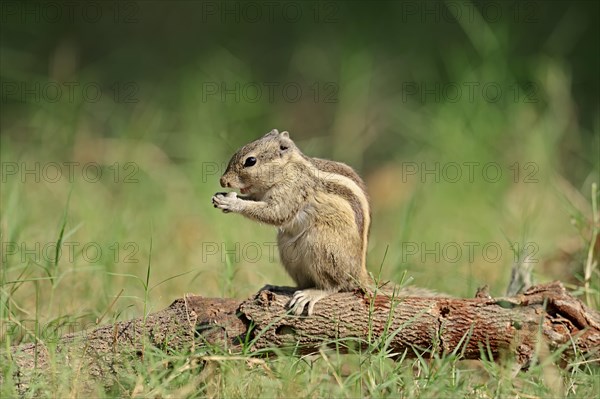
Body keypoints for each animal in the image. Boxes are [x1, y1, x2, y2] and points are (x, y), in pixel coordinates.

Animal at [211, 130, 370, 318]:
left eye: (250, 161)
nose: (223, 181)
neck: (288, 169)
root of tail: (359, 274)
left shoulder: (292, 191)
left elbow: (275, 213)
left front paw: (232, 203)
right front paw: (223, 197)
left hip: (321, 245)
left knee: (336, 285)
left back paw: (311, 294)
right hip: (288, 251)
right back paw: (279, 287)